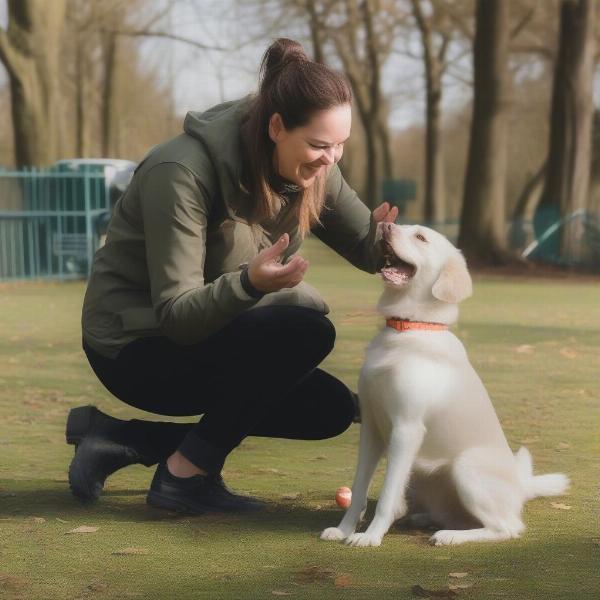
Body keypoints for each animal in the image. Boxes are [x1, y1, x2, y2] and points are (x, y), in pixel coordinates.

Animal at [322, 223, 568, 548]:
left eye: (420, 237)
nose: (385, 225)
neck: (407, 329)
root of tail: (520, 486)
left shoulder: (406, 429)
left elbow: (386, 496)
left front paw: (371, 537)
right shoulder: (372, 428)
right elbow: (359, 489)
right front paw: (344, 530)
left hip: (465, 465)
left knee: (507, 527)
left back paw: (449, 536)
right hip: (420, 475)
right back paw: (423, 519)